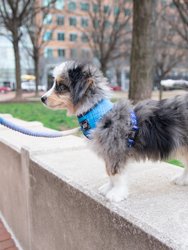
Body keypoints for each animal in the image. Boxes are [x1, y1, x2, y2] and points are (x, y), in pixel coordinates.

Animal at [41, 61, 188, 203]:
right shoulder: (108, 153)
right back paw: (182, 179)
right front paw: (108, 188)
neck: (96, 113)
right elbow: (109, 172)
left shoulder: (115, 151)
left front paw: (117, 193)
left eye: (61, 86)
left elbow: (115, 173)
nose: (42, 98)